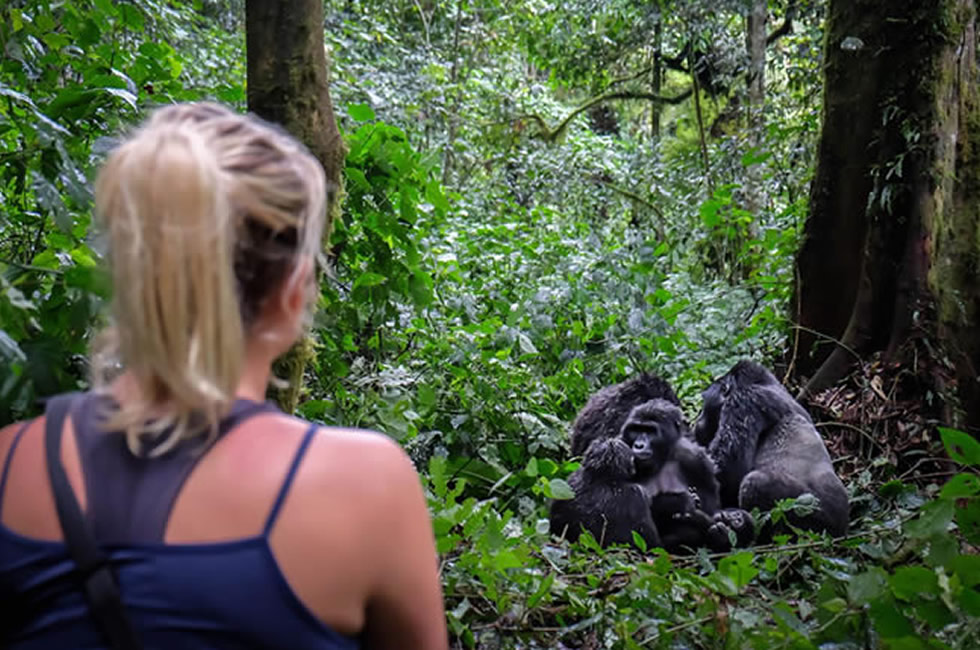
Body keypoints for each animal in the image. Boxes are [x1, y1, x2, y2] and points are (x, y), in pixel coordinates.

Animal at [624, 394, 756, 552]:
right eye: (636, 429)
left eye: (651, 431)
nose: (638, 445)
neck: (664, 455)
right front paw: (675, 502)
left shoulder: (697, 460)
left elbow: (709, 508)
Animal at [692, 356, 848, 536]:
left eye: (704, 406)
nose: (697, 420)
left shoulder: (744, 400)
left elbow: (726, 472)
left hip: (815, 517)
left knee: (755, 483)